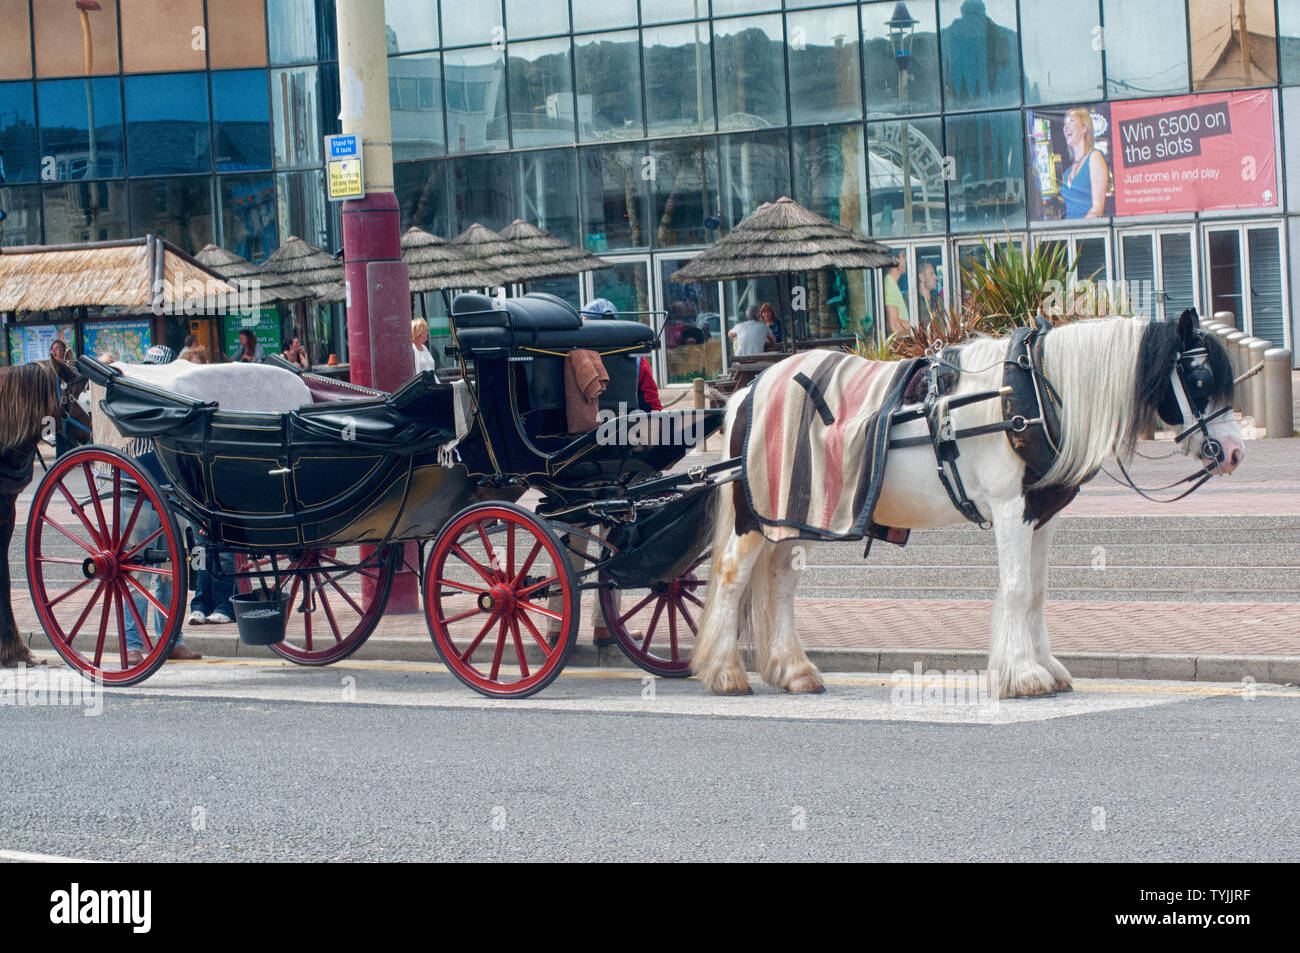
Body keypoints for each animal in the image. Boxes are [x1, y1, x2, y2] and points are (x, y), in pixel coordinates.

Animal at [696, 308, 1242, 696]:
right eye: (1199, 380)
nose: (1235, 453)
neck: (1032, 395)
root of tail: (747, 391)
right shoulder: (1010, 510)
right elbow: (1018, 589)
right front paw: (1023, 675)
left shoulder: (1041, 516)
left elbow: (1037, 592)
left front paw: (1045, 666)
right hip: (754, 520)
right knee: (731, 576)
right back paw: (724, 673)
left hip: (795, 517)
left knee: (781, 585)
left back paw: (794, 670)